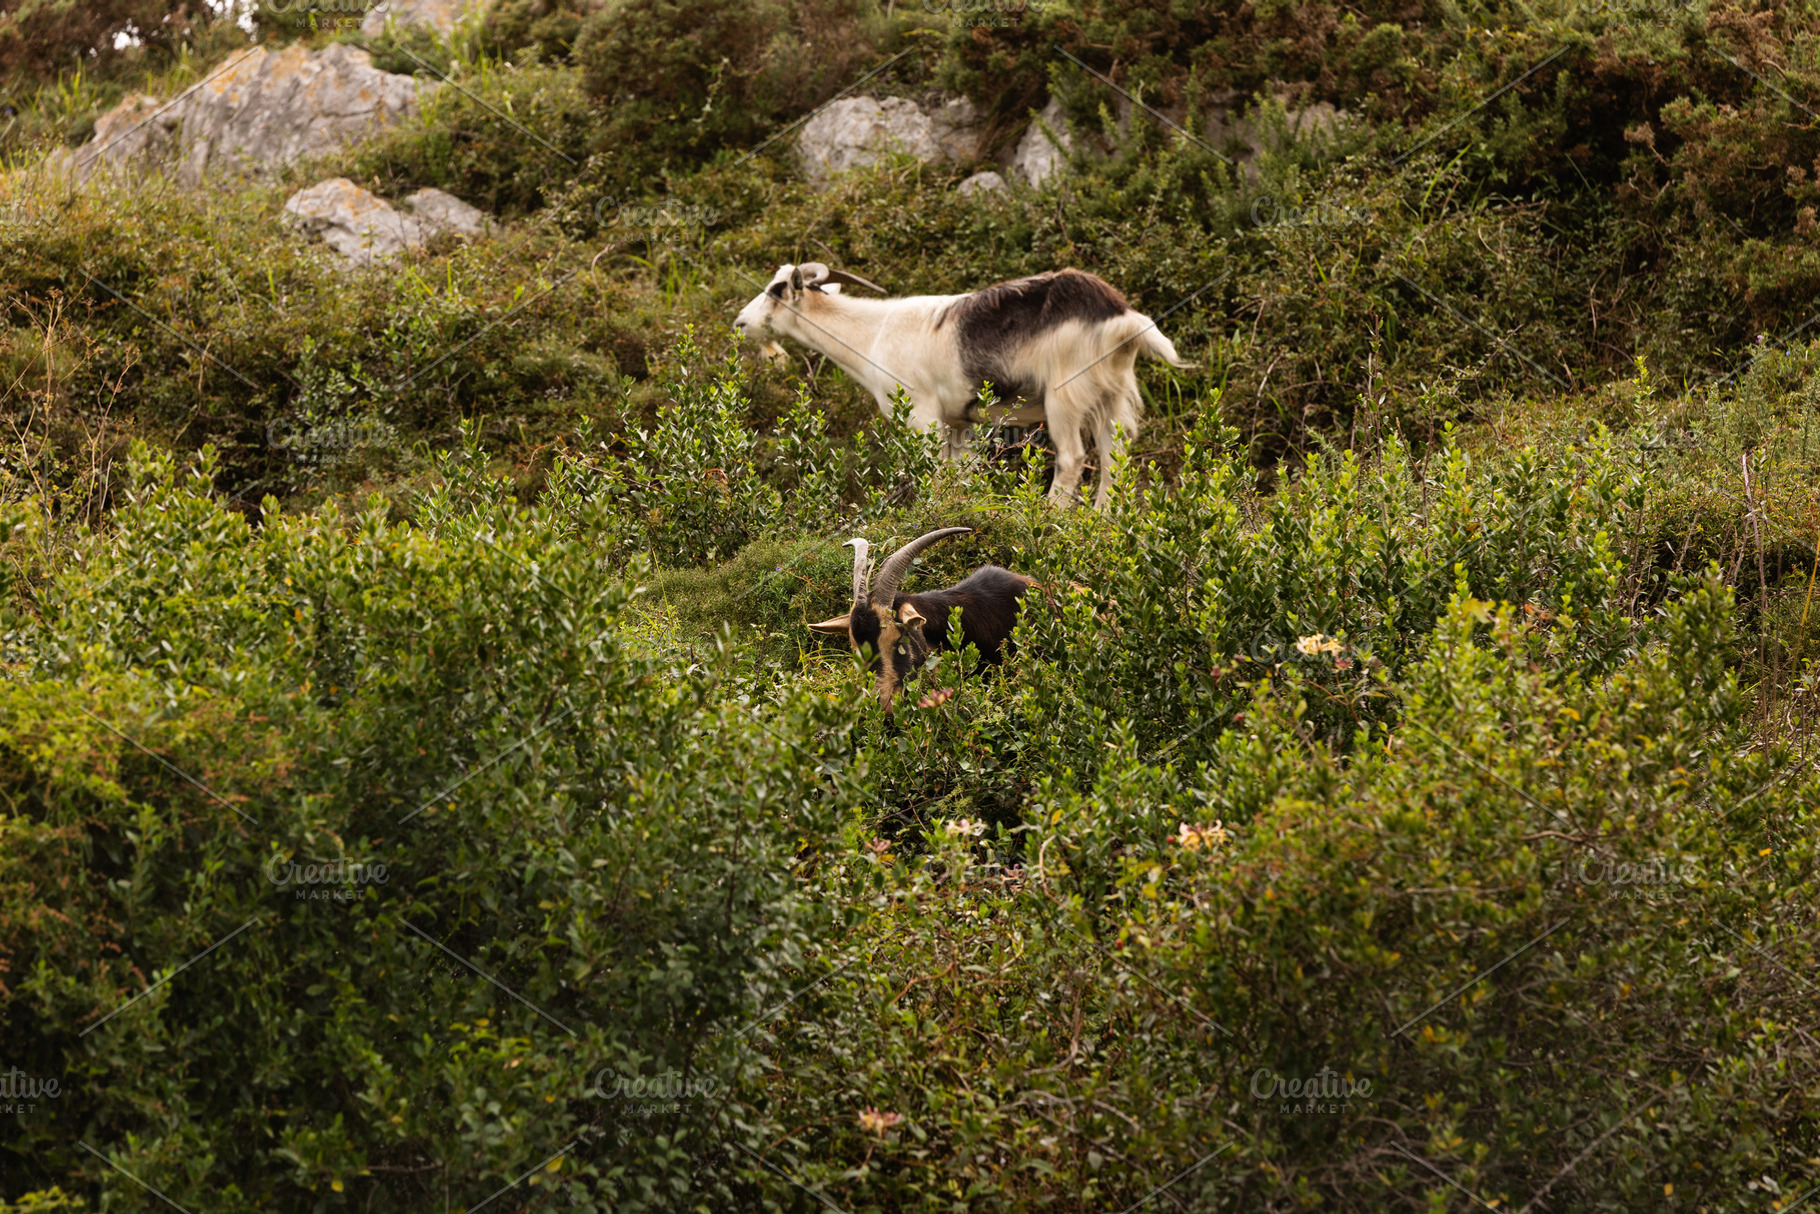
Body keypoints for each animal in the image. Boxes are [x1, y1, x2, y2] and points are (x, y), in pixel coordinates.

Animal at [734, 262, 1192, 508]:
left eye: (776, 290)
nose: (740, 323)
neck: (873, 333)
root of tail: (1123, 318)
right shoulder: (960, 422)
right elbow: (960, 474)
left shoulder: (921, 412)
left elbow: (934, 473)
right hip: (1114, 395)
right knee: (1116, 459)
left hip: (1065, 394)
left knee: (1072, 458)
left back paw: (1051, 517)